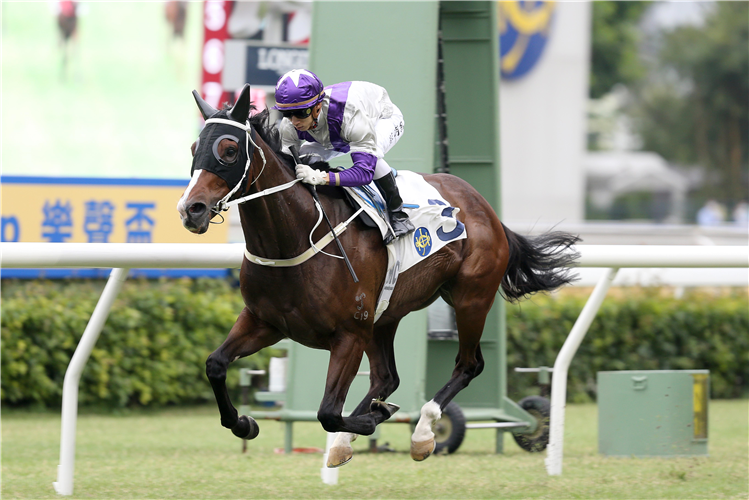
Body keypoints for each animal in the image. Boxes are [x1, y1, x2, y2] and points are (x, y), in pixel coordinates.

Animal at [177, 83, 580, 464]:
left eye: (229, 150)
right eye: (195, 147)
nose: (190, 209)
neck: (294, 241)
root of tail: (486, 208)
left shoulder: (349, 335)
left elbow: (327, 412)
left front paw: (374, 419)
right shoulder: (265, 321)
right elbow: (215, 364)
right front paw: (243, 423)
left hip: (470, 299)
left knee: (468, 365)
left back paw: (423, 432)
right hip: (385, 317)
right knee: (388, 377)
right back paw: (353, 436)